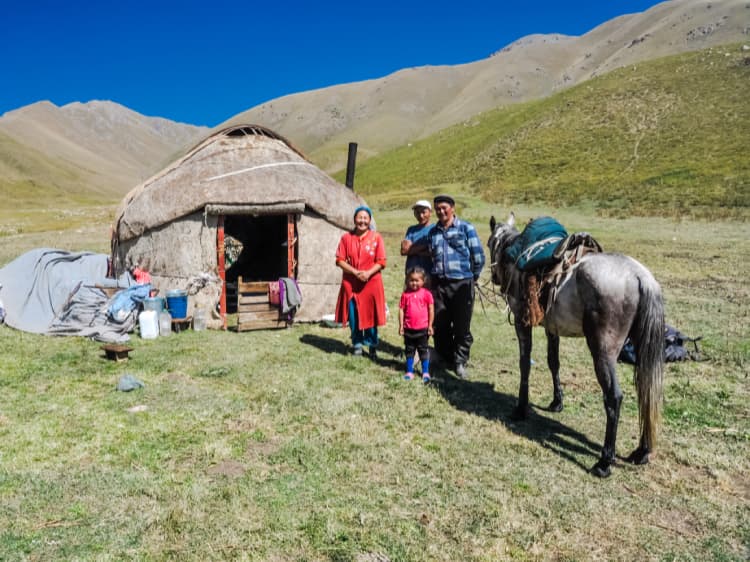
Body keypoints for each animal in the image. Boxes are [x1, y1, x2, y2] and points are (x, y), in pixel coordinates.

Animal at [487, 213, 665, 477]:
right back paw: (641, 451)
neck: (515, 256)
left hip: (603, 352)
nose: (494, 277)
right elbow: (554, 362)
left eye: (490, 243)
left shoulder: (521, 322)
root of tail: (639, 277)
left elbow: (524, 363)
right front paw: (556, 402)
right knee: (646, 391)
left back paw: (604, 462)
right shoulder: (552, 328)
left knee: (614, 398)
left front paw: (521, 408)